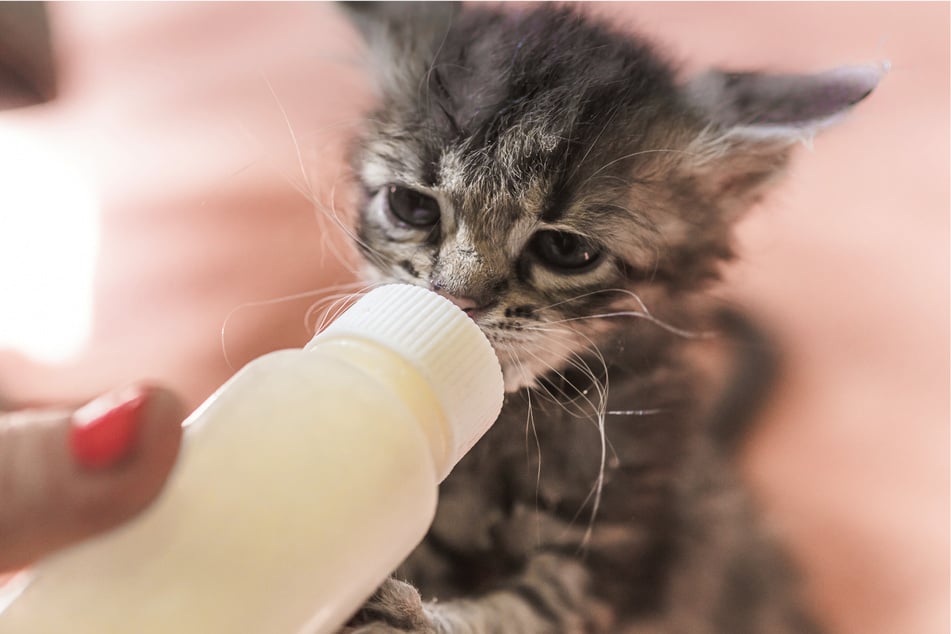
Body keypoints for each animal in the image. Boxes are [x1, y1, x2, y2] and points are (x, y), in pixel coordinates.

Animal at [332, 4, 876, 632]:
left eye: (566, 250)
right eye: (412, 206)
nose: (456, 299)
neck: (508, 426)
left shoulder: (613, 557)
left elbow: (527, 610)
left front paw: (403, 614)